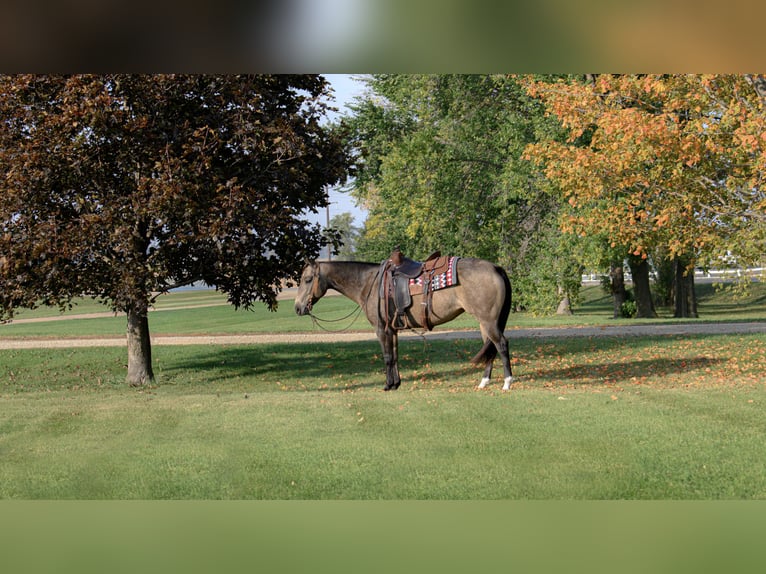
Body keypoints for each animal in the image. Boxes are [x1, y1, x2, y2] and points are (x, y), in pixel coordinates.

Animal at [293, 257, 514, 391]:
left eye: (307, 279)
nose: (297, 308)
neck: (368, 283)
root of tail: (495, 267)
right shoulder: (393, 330)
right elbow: (395, 356)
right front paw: (396, 383)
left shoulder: (381, 329)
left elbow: (387, 357)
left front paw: (388, 385)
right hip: (485, 323)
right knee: (490, 348)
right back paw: (484, 382)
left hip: (489, 321)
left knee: (501, 345)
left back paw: (507, 382)